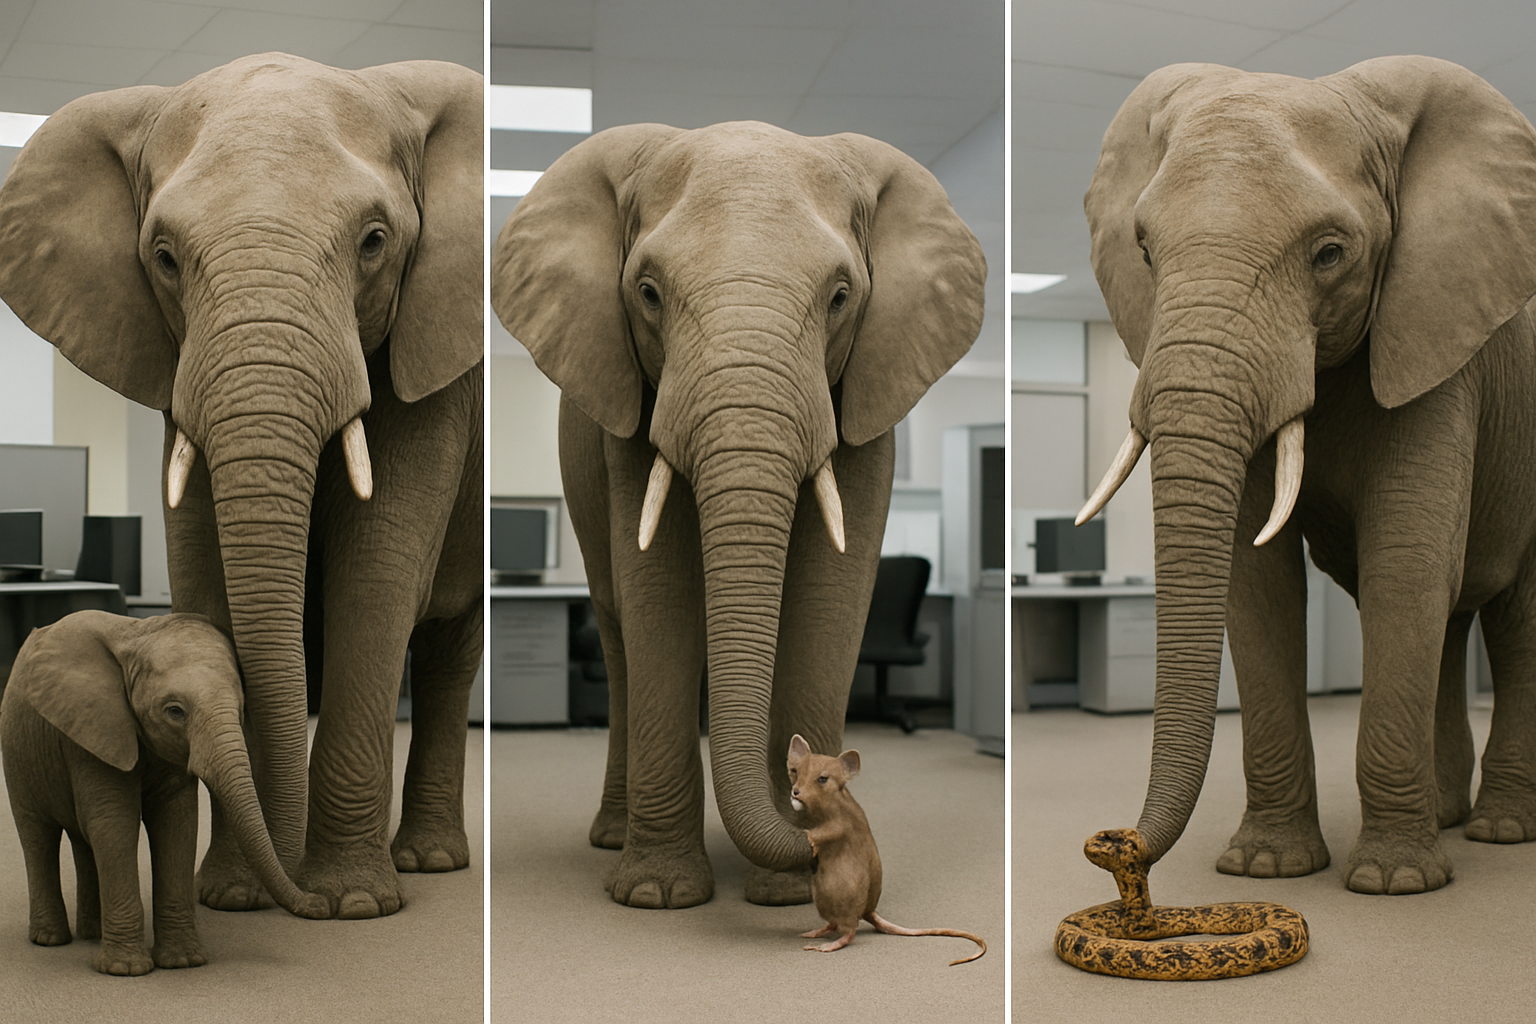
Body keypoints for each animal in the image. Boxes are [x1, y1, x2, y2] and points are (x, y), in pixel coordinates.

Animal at [0, 53, 483, 919]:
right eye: (163, 256)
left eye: (375, 242)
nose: (299, 896)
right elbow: (202, 567)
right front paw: (232, 896)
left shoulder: (432, 369)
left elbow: (378, 574)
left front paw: (352, 904)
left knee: (446, 656)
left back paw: (426, 862)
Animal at [1, 611, 328, 975]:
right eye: (175, 712)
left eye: (241, 707)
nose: (320, 905)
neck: (137, 635)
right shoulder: (93, 732)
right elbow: (116, 824)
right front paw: (126, 970)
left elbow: (176, 823)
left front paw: (183, 962)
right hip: (17, 753)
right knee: (38, 837)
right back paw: (49, 939)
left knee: (84, 841)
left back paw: (91, 934)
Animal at [492, 121, 986, 908]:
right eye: (648, 292)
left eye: (841, 296)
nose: (811, 812)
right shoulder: (631, 415)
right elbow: (658, 593)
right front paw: (657, 895)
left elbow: (830, 601)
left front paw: (788, 891)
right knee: (618, 634)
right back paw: (611, 838)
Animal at [1077, 55, 1536, 895]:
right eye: (1145, 251)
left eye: (1330, 253)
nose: (1115, 846)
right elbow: (1256, 581)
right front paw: (1265, 867)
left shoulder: (1435, 341)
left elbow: (1405, 561)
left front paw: (1395, 882)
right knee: (1451, 622)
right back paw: (1447, 814)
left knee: (1516, 619)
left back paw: (1501, 830)